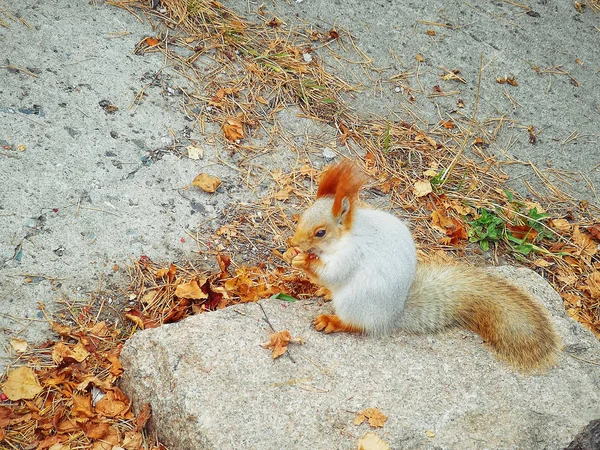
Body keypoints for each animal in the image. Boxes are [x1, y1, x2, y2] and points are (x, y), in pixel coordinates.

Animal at [288, 160, 560, 370]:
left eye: (321, 232)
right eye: (302, 216)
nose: (294, 242)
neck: (344, 237)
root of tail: (393, 316)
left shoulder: (352, 255)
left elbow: (335, 273)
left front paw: (303, 260)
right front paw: (296, 254)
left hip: (356, 301)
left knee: (357, 325)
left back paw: (332, 321)